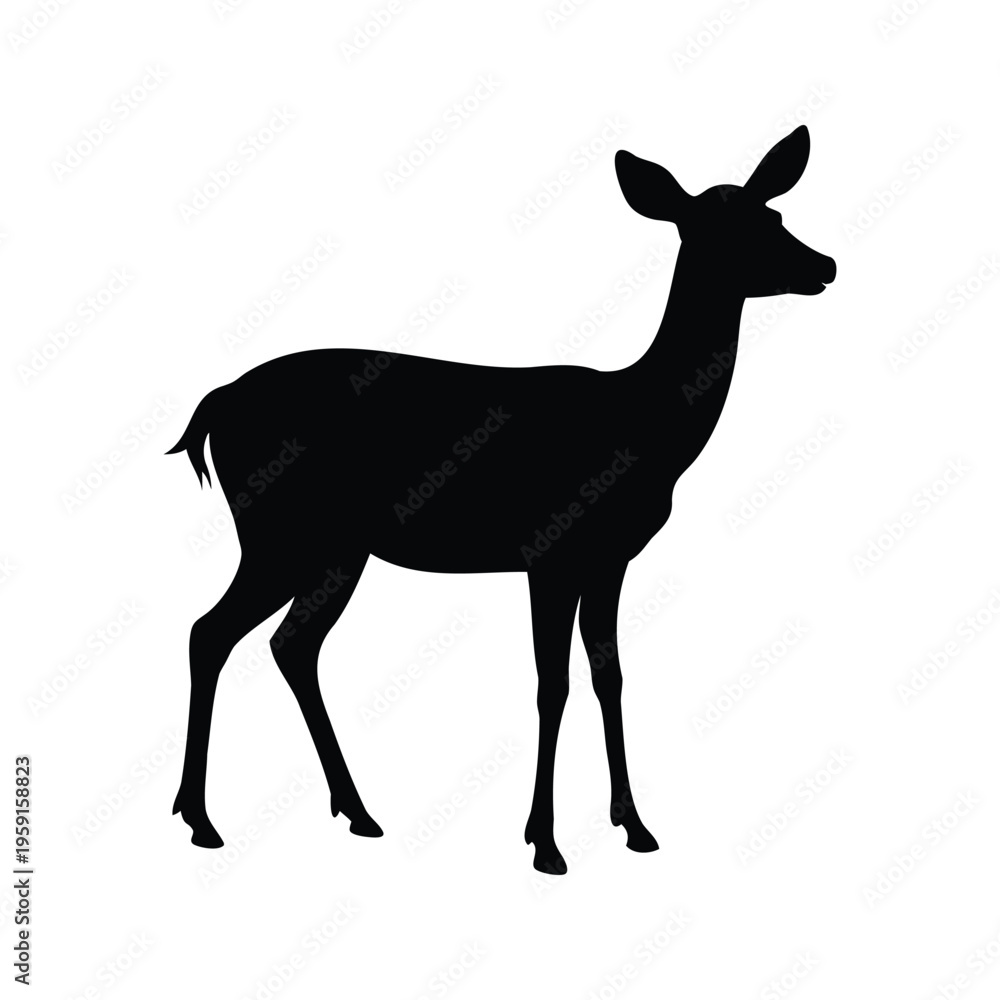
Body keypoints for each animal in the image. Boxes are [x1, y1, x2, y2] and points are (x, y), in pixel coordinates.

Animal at [168, 124, 835, 874]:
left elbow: (609, 677)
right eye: (721, 228)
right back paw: (202, 820)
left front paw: (634, 826)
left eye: (773, 216)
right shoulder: (550, 551)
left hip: (335, 548)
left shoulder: (609, 559)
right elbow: (553, 684)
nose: (825, 264)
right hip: (276, 531)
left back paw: (356, 812)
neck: (646, 426)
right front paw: (545, 842)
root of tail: (215, 405)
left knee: (290, 644)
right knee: (211, 631)